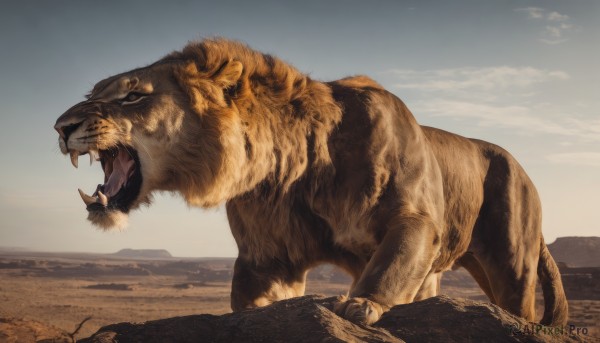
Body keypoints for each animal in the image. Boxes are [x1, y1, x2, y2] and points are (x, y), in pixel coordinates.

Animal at [54, 39, 568, 326]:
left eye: (132, 96)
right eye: (94, 93)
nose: (60, 126)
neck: (291, 170)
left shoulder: (417, 218)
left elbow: (391, 264)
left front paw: (361, 307)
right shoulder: (267, 258)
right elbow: (254, 303)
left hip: (513, 265)